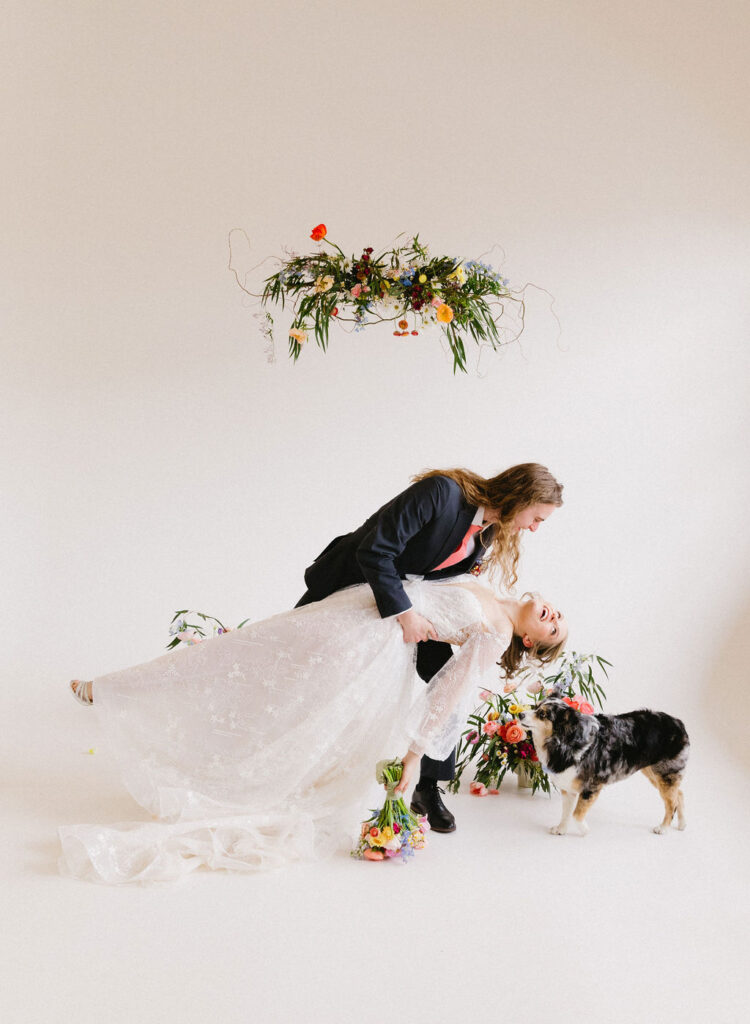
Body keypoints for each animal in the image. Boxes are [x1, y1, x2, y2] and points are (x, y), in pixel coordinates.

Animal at [518, 700, 688, 835]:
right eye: (535, 706)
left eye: (542, 714)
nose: (520, 714)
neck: (566, 742)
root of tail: (679, 723)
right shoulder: (568, 787)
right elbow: (566, 812)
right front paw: (561, 829)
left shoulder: (591, 787)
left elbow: (576, 814)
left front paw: (584, 830)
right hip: (654, 773)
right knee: (679, 794)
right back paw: (682, 825)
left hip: (665, 773)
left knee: (671, 803)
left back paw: (663, 828)